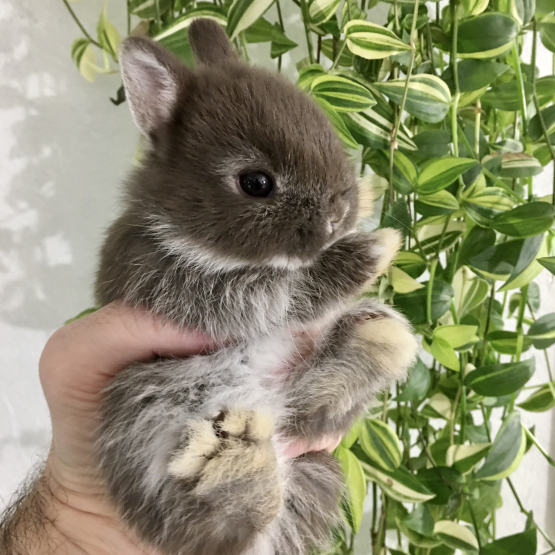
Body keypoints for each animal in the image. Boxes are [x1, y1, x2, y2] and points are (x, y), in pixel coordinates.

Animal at [95, 17, 416, 555]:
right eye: (256, 183)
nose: (337, 217)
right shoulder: (179, 287)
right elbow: (282, 294)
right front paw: (372, 250)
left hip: (313, 449)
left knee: (308, 414)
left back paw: (373, 341)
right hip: (141, 401)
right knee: (221, 528)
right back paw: (231, 467)